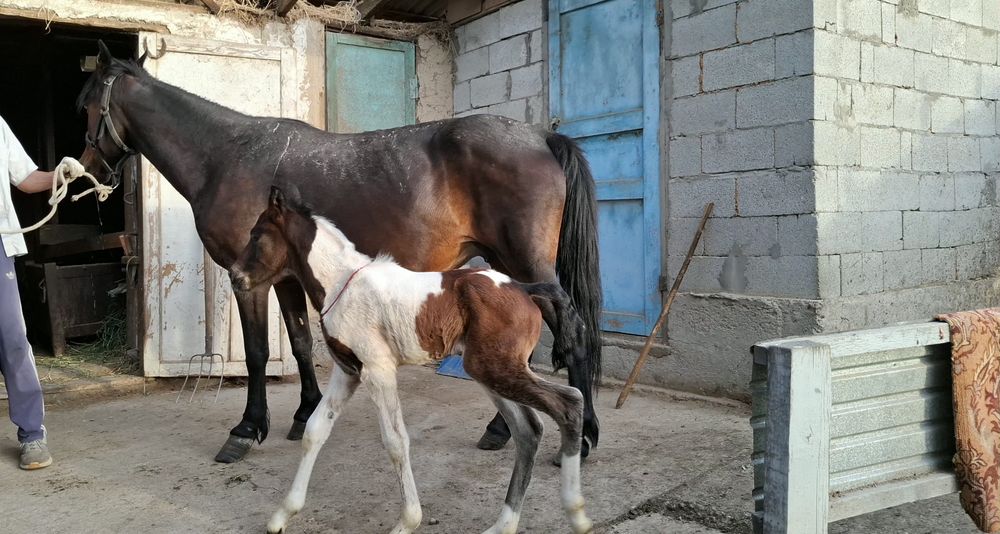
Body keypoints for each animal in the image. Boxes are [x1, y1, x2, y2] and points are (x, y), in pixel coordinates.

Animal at [76, 41, 602, 463]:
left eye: (86, 105)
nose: (89, 172)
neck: (226, 156)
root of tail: (539, 136)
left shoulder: (248, 279)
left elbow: (257, 352)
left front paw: (246, 430)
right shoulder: (284, 277)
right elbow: (299, 341)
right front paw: (303, 414)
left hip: (528, 261)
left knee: (572, 333)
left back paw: (583, 435)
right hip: (503, 266)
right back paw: (502, 430)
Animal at [229, 187, 593, 534]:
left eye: (257, 235)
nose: (235, 276)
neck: (340, 282)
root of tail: (525, 289)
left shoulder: (378, 370)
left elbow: (395, 440)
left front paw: (408, 521)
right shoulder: (347, 371)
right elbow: (315, 430)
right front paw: (281, 516)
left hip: (496, 368)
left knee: (569, 403)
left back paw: (578, 515)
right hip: (488, 370)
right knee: (529, 430)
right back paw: (503, 525)